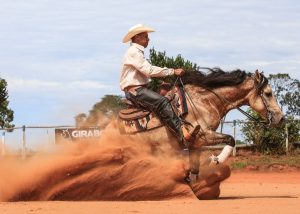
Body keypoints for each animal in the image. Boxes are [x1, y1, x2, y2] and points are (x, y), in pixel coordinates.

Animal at [116, 69, 284, 182]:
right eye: (268, 93)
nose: (281, 118)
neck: (204, 101)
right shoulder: (203, 136)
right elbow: (231, 139)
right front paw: (216, 160)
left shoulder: (195, 145)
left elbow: (194, 169)